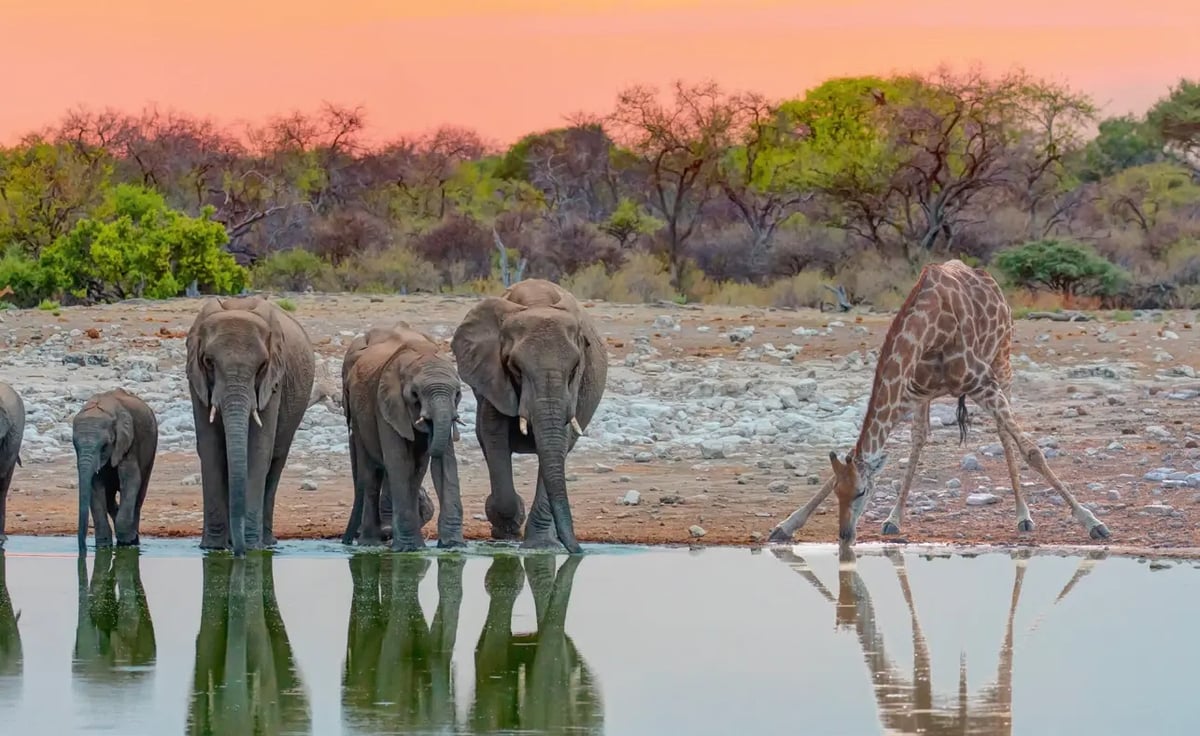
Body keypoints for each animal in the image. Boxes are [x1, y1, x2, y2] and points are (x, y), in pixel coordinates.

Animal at [768, 259, 1110, 545]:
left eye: (863, 491)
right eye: (840, 493)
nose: (845, 535)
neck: (931, 330)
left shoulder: (984, 383)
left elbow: (1033, 451)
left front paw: (1093, 522)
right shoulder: (908, 394)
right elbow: (857, 457)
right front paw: (786, 526)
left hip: (1003, 361)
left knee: (1005, 434)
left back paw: (1023, 516)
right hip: (932, 395)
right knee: (920, 438)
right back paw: (894, 519)